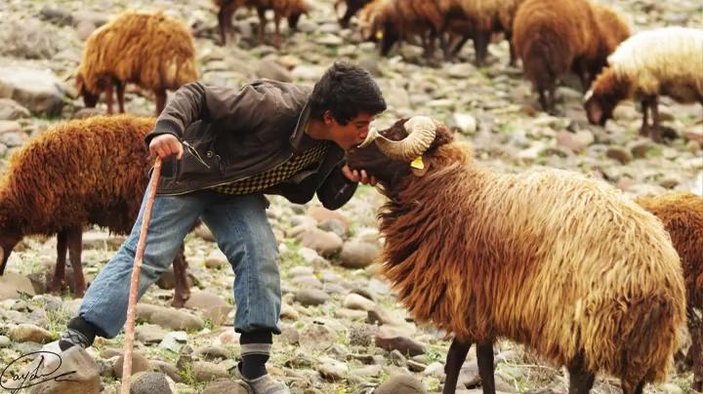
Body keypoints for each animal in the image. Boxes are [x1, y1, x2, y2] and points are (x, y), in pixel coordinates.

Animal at [0, 115, 190, 306]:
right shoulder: (64, 216)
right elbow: (61, 251)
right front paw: (55, 286)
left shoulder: (75, 213)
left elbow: (74, 254)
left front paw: (79, 291)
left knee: (176, 253)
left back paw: (179, 299)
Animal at [348, 116, 688, 394]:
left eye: (393, 135)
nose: (348, 154)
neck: (451, 192)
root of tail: (658, 276)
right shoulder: (484, 308)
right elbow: (482, 361)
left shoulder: (467, 298)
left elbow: (459, 358)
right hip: (641, 347)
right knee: (633, 385)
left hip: (581, 328)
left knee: (581, 380)